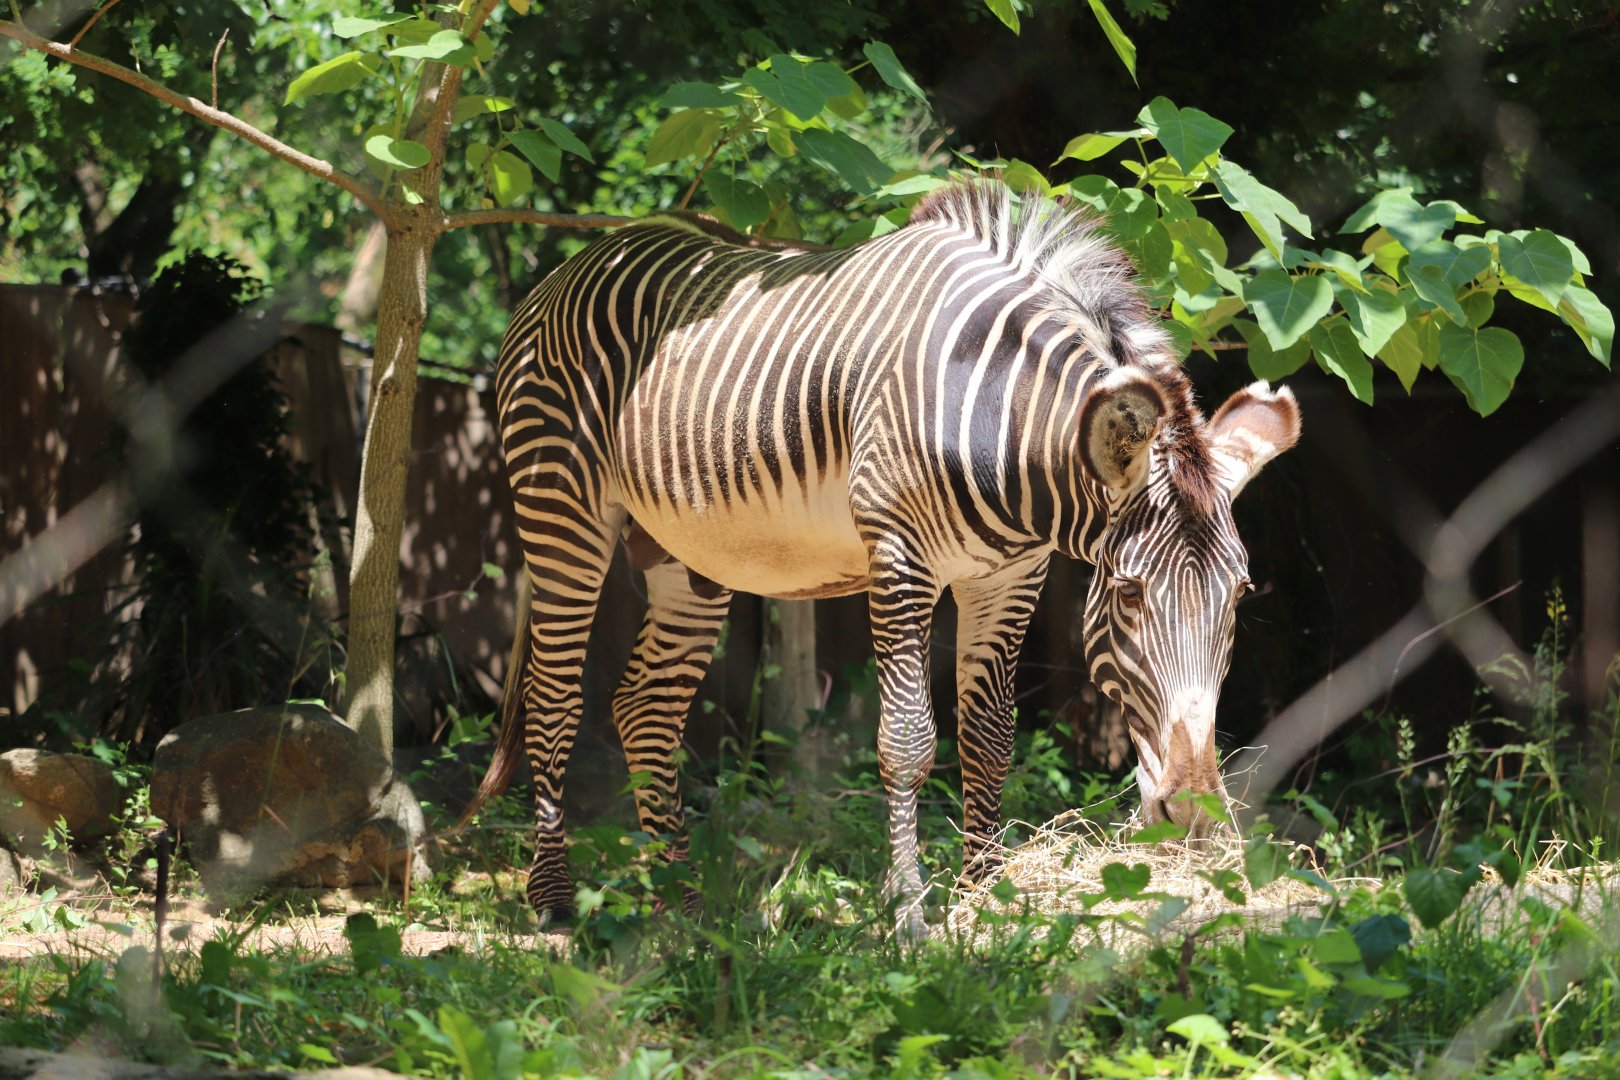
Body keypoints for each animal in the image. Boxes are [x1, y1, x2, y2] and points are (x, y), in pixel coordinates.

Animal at [465, 179, 1301, 935]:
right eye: (1128, 595)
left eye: (1238, 597)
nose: (1193, 814)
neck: (1005, 427)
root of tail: (584, 257)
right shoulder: (899, 559)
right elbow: (907, 742)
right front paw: (909, 919)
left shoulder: (1010, 577)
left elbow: (988, 740)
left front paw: (982, 905)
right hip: (561, 506)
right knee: (555, 695)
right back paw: (555, 904)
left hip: (686, 554)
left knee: (643, 708)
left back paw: (689, 912)